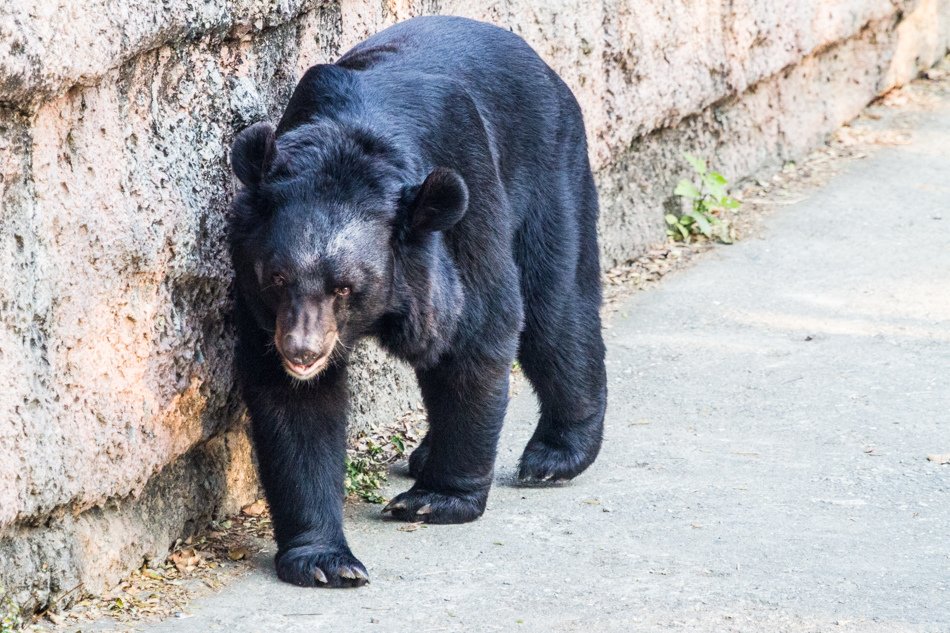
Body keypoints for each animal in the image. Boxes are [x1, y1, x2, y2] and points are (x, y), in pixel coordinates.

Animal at [227, 16, 608, 588]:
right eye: (277, 278)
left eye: (345, 286)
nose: (302, 351)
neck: (351, 142)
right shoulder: (258, 301)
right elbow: (294, 405)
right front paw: (326, 561)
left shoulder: (463, 208)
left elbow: (475, 331)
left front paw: (435, 500)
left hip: (547, 168)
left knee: (554, 310)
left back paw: (554, 456)